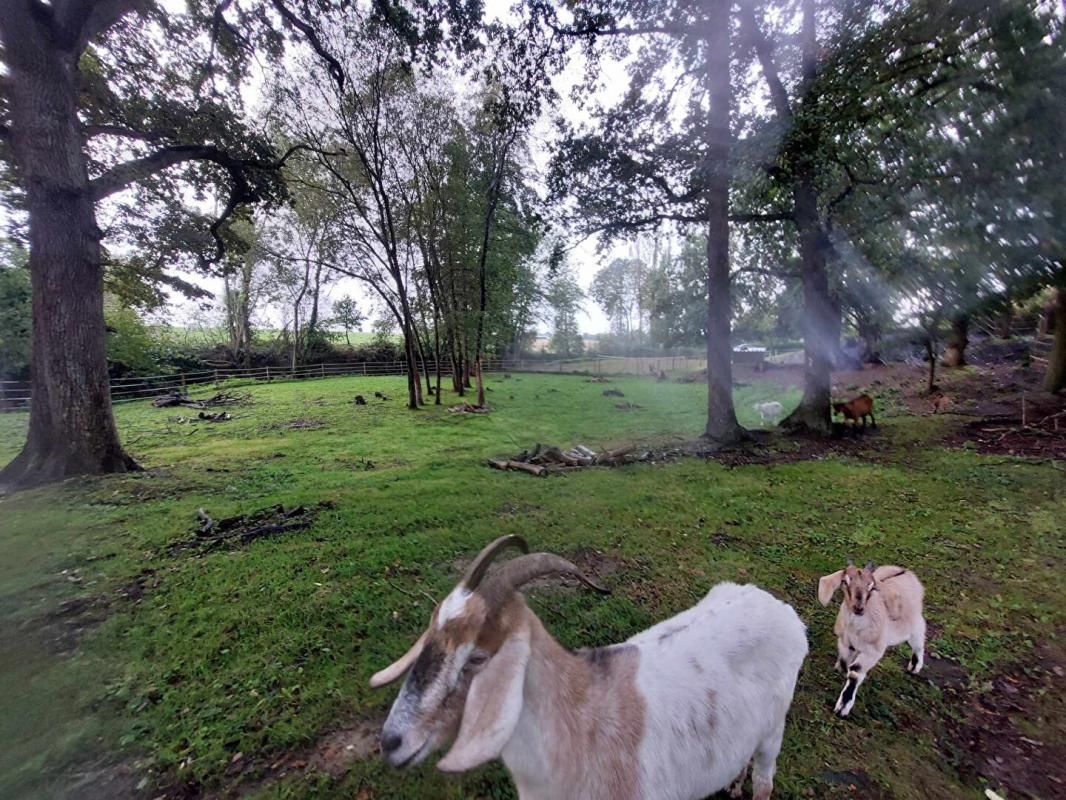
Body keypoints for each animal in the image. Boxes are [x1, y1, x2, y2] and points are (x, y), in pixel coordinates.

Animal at [370, 535, 801, 800]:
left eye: (477, 658)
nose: (392, 742)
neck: (582, 720)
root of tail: (781, 609)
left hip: (773, 731)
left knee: (764, 782)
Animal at [814, 563, 925, 721]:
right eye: (845, 582)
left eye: (871, 587)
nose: (858, 608)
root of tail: (903, 570)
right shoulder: (844, 642)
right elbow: (844, 663)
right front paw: (840, 670)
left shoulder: (872, 651)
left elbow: (855, 672)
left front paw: (843, 707)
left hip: (913, 624)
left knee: (919, 639)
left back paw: (915, 666)